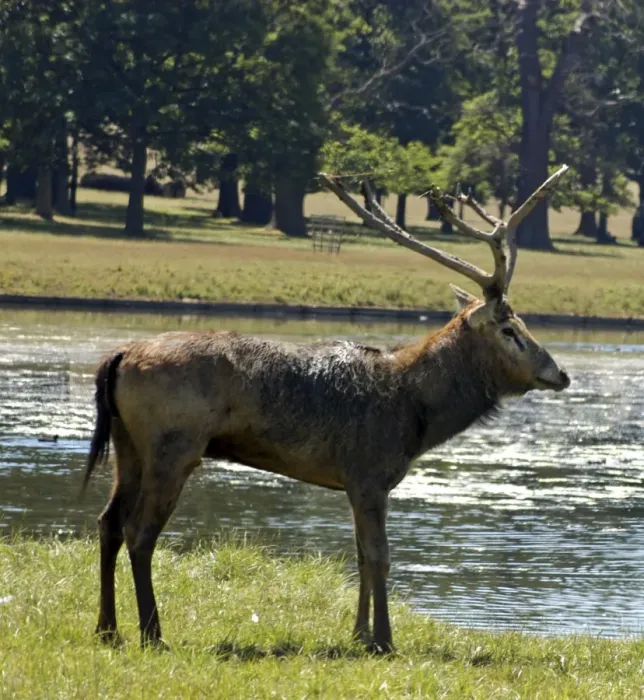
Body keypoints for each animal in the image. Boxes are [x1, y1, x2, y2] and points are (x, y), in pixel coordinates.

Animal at [82, 165, 571, 654]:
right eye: (509, 330)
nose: (560, 373)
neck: (416, 414)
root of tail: (119, 357)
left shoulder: (358, 483)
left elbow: (359, 556)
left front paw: (358, 635)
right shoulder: (369, 472)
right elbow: (379, 556)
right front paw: (384, 641)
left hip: (129, 444)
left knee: (108, 522)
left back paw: (107, 628)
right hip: (174, 445)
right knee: (140, 532)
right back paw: (152, 633)